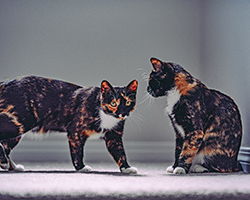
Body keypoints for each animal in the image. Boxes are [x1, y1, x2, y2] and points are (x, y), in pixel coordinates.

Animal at [0, 76, 138, 173]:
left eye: (128, 102)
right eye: (113, 103)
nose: (122, 113)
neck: (106, 116)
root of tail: (4, 83)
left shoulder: (114, 135)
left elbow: (120, 152)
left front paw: (126, 168)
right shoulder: (75, 131)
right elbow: (77, 152)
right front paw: (81, 168)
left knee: (5, 145)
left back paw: (12, 166)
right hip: (19, 123)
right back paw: (4, 162)